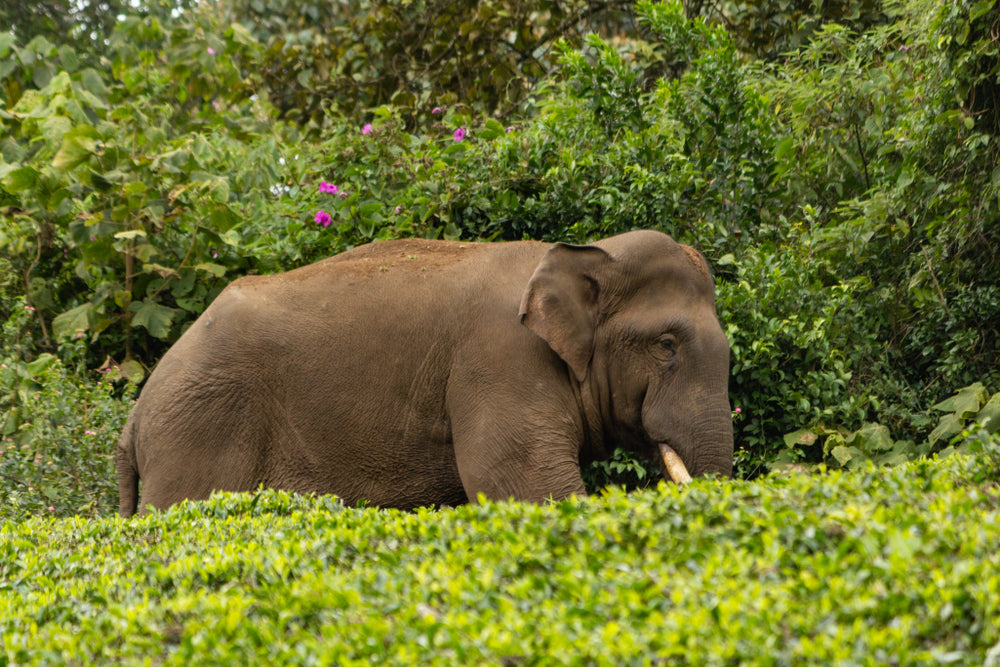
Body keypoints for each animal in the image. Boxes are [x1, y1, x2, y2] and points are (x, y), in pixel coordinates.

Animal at [117, 230, 733, 516]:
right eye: (666, 345)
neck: (589, 254)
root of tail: (134, 418)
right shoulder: (498, 361)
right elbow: (526, 489)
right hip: (198, 429)